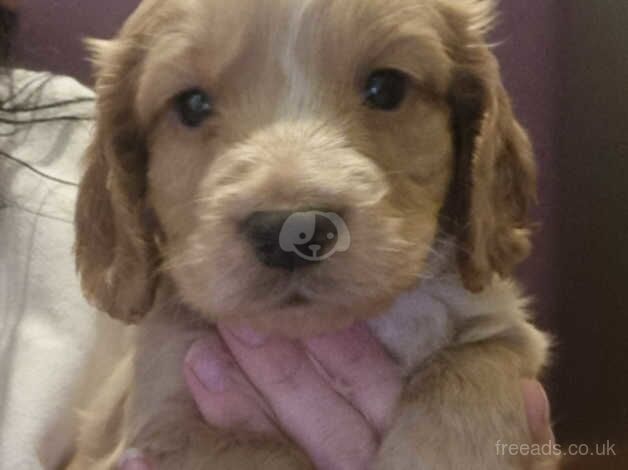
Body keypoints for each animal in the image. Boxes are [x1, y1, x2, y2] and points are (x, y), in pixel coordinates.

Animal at [70, 0, 560, 468]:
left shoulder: (506, 333)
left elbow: (473, 367)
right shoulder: (155, 421)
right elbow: (260, 454)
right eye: (191, 105)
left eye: (386, 88)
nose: (292, 230)